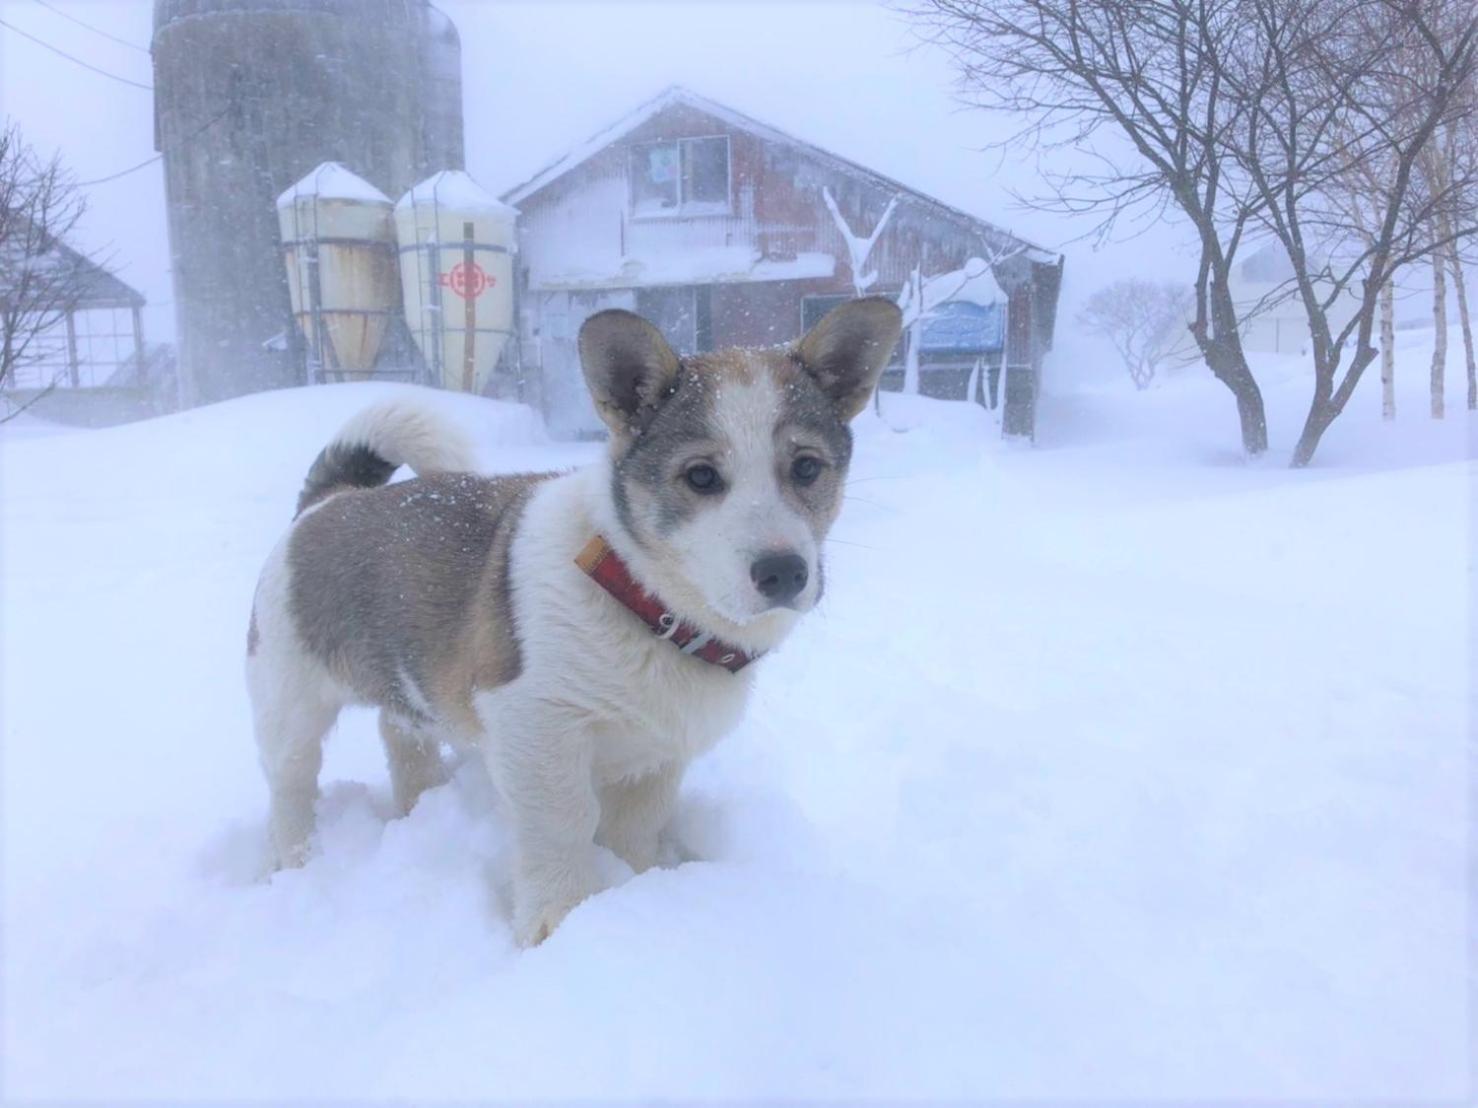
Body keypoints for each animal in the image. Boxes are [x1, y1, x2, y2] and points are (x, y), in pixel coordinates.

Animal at [245, 295, 898, 945]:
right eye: (702, 476)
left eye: (807, 468)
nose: (785, 573)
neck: (643, 601)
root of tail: (329, 501)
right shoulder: (534, 725)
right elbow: (563, 823)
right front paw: (558, 920)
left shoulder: (656, 758)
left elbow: (635, 828)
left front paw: (637, 887)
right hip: (289, 707)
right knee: (290, 789)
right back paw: (296, 864)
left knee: (400, 735)